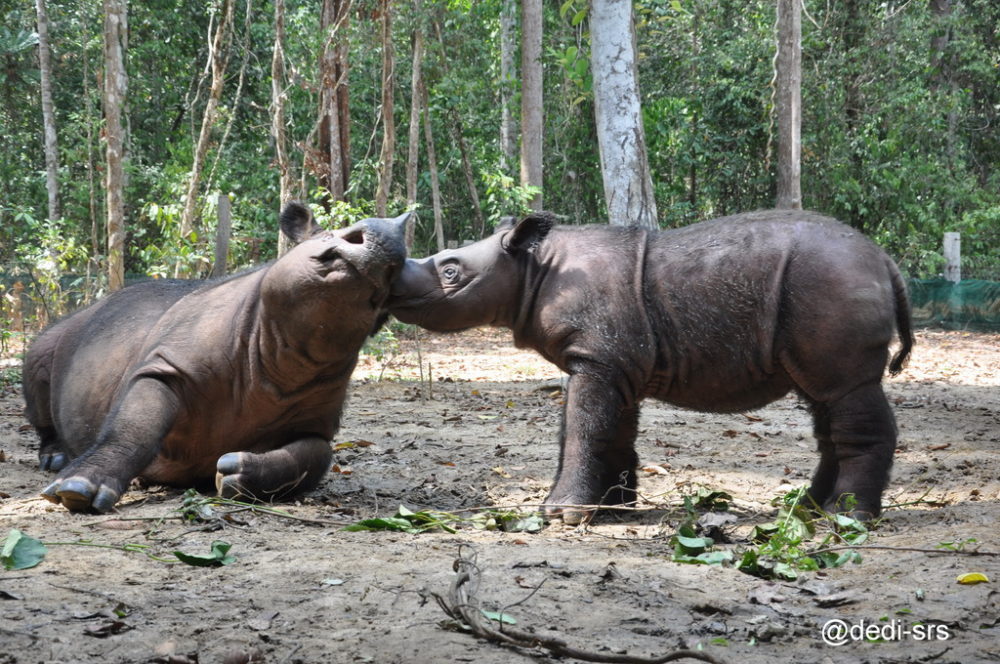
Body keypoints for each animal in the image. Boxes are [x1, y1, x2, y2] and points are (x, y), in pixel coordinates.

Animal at [23, 202, 408, 512]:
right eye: (331, 234)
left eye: (393, 276)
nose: (387, 239)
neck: (285, 351)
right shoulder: (167, 366)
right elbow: (133, 426)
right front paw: (76, 491)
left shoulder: (315, 419)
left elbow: (314, 456)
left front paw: (236, 474)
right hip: (70, 327)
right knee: (39, 355)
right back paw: (55, 459)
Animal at [388, 209, 916, 524]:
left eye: (451, 271)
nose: (391, 281)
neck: (532, 268)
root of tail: (886, 261)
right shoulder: (613, 361)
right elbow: (608, 429)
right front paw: (613, 507)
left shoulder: (598, 359)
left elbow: (583, 428)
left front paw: (561, 515)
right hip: (821, 288)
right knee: (822, 400)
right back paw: (809, 509)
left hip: (831, 279)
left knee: (845, 392)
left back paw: (846, 518)